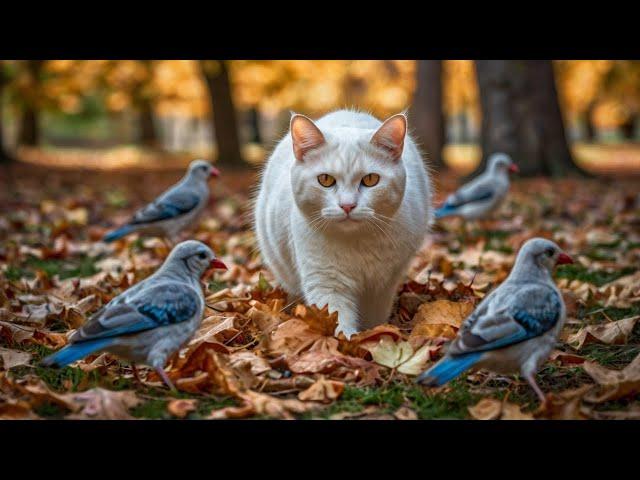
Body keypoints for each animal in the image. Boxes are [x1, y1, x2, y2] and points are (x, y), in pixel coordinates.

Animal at [252, 109, 432, 338]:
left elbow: (374, 317)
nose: (347, 205)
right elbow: (336, 318)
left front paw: (373, 336)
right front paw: (347, 342)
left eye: (371, 179)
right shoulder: (326, 281)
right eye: (325, 180)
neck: (357, 244)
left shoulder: (382, 286)